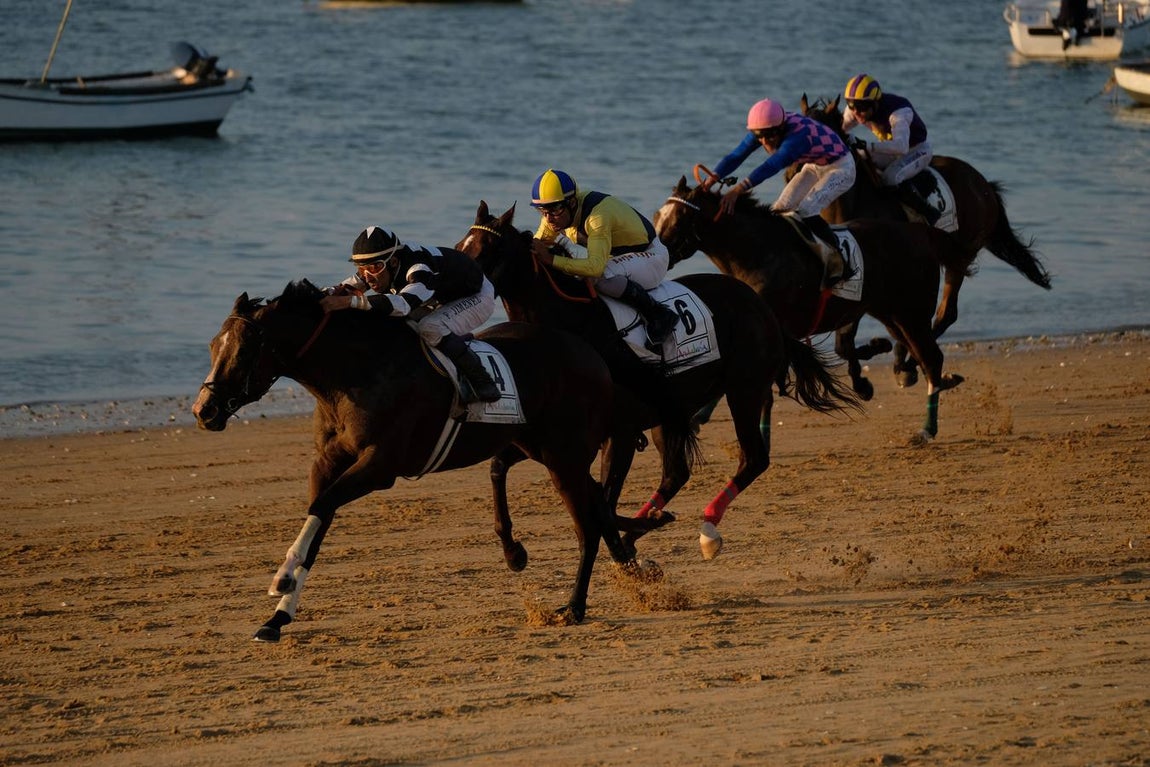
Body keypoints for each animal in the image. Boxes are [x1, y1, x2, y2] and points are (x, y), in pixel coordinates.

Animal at [192, 279, 639, 641]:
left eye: (244, 350)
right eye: (213, 345)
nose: (203, 410)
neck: (357, 371)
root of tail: (592, 355)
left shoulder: (380, 466)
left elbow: (322, 506)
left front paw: (281, 579)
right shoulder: (327, 463)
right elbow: (318, 520)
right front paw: (277, 618)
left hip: (562, 456)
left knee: (586, 527)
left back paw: (575, 606)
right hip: (543, 448)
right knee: (595, 500)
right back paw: (621, 565)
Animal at [456, 201, 861, 560]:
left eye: (488, 249)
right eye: (462, 245)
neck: (571, 328)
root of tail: (762, 307)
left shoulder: (616, 433)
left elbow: (604, 502)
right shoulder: (555, 439)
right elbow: (499, 467)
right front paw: (514, 550)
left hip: (743, 389)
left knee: (752, 459)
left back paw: (707, 529)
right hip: (675, 410)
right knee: (677, 473)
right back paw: (643, 528)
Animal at [653, 178, 972, 442]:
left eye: (679, 220)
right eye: (658, 216)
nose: (653, 251)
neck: (758, 254)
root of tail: (920, 233)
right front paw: (699, 418)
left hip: (912, 313)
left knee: (931, 358)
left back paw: (927, 429)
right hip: (891, 314)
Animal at [797, 94, 1052, 383]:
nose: (793, 169)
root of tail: (984, 184)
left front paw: (886, 355)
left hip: (960, 256)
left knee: (945, 314)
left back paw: (909, 363)